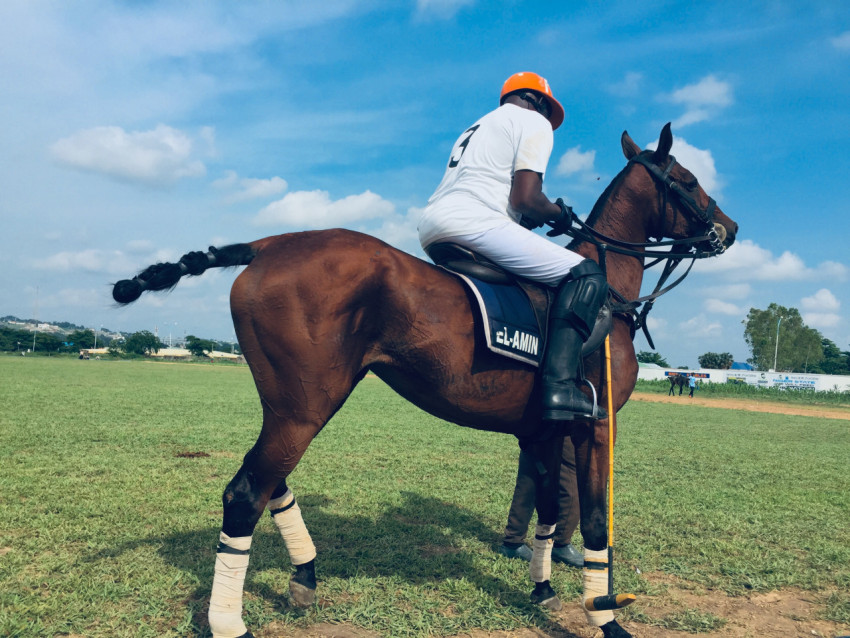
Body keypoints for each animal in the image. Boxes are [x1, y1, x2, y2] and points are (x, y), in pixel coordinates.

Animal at [112, 125, 736, 638]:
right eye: (688, 180)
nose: (728, 230)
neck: (609, 292)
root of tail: (269, 244)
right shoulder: (596, 425)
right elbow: (595, 521)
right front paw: (607, 618)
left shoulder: (540, 431)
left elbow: (548, 511)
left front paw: (541, 591)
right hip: (307, 404)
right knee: (246, 490)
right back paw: (231, 623)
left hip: (292, 399)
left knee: (267, 478)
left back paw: (305, 576)